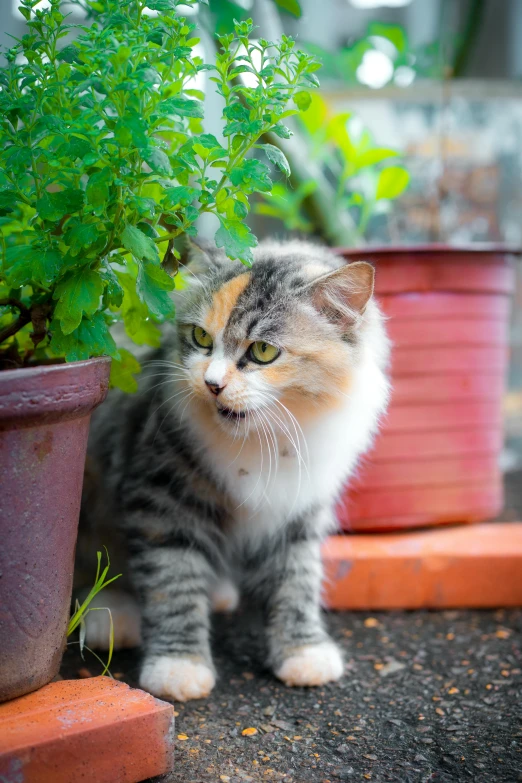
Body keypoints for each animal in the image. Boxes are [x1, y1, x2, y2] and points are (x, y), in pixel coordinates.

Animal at [81, 240, 388, 704]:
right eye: (201, 338)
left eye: (262, 351)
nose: (212, 384)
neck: (265, 441)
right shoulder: (162, 503)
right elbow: (174, 583)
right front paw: (179, 667)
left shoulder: (299, 510)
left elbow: (297, 582)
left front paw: (303, 653)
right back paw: (111, 614)